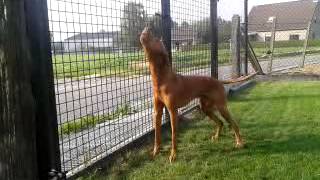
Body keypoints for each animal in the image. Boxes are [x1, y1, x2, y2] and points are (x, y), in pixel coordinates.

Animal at [140, 27, 255, 163]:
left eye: (157, 39)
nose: (148, 27)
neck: (161, 81)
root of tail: (217, 80)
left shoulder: (173, 112)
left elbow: (174, 136)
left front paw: (173, 155)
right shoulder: (157, 112)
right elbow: (157, 136)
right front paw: (155, 152)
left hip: (221, 107)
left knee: (234, 124)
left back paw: (240, 143)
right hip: (205, 108)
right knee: (220, 123)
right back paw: (217, 137)